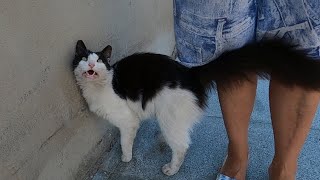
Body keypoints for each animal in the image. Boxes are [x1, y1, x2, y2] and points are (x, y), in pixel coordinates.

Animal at [72, 39, 320, 176]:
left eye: (100, 60)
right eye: (84, 59)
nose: (91, 64)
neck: (102, 84)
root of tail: (189, 72)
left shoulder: (128, 121)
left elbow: (125, 141)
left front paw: (126, 157)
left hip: (168, 117)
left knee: (182, 146)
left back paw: (171, 169)